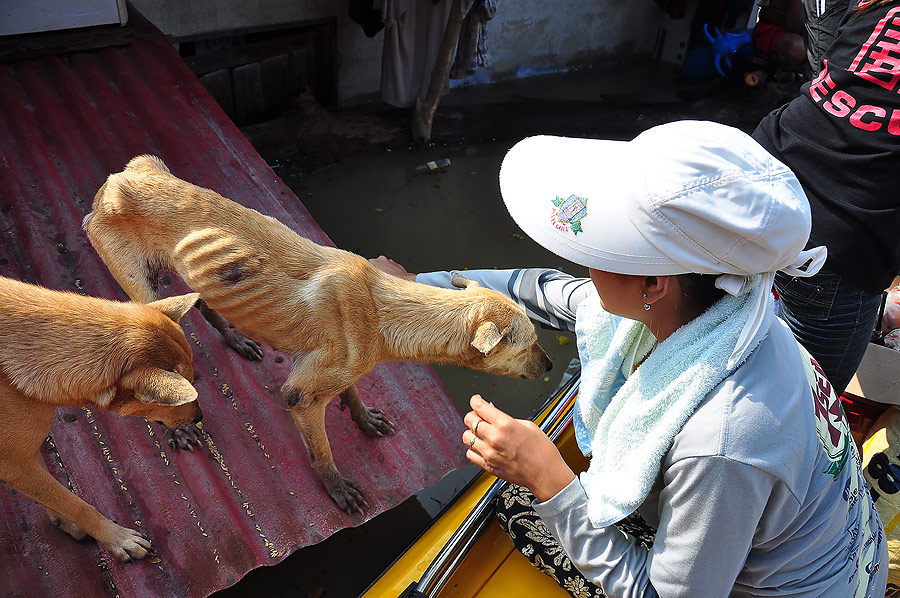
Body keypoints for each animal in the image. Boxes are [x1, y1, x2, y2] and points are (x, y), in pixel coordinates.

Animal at [0, 278, 200, 564]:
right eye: (185, 391)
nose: (200, 417)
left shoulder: (23, 452)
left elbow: (53, 493)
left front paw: (65, 522)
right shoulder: (13, 464)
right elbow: (78, 505)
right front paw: (117, 538)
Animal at [84, 155, 552, 516]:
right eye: (529, 343)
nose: (550, 365)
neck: (382, 310)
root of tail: (116, 180)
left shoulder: (342, 365)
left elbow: (352, 391)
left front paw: (364, 418)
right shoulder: (301, 395)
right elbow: (321, 450)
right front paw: (339, 489)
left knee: (204, 306)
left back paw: (237, 340)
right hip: (141, 290)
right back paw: (176, 429)